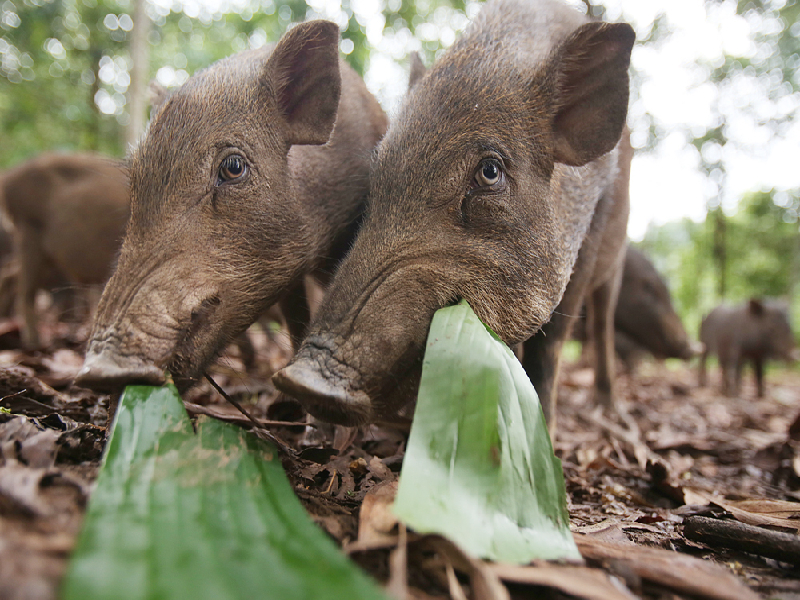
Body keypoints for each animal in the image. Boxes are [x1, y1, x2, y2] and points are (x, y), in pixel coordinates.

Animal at [276, 0, 636, 434]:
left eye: (490, 171)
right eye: (376, 179)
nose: (302, 380)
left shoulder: (591, 234)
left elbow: (550, 345)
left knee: (602, 323)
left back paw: (609, 408)